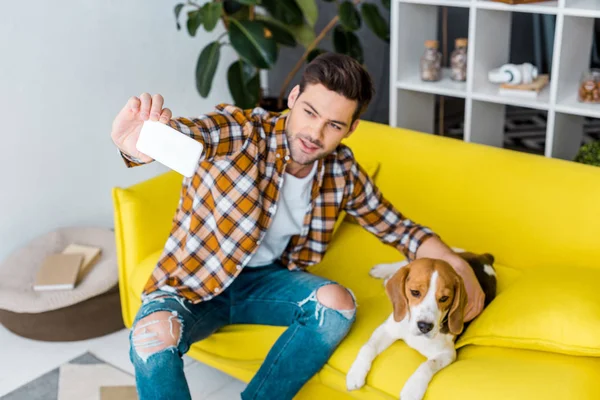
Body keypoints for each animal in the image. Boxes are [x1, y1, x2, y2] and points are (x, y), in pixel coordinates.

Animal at [346, 252, 496, 398]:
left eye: (444, 298)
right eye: (415, 292)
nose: (425, 327)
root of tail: (485, 259)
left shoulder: (447, 353)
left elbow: (427, 365)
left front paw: (412, 390)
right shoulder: (388, 329)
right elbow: (368, 347)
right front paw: (355, 373)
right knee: (407, 262)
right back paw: (384, 271)